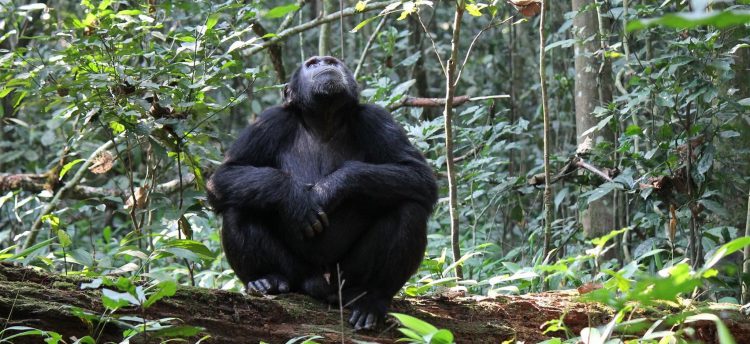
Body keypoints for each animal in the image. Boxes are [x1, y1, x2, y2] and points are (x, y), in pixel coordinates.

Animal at [207, 55, 440, 330]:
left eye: (331, 61)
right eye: (311, 64)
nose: (324, 63)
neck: (323, 120)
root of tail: (321, 284)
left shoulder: (377, 118)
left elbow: (418, 174)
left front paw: (328, 189)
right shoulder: (269, 121)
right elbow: (225, 175)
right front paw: (296, 198)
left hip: (345, 277)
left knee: (409, 209)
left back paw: (370, 300)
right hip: (299, 272)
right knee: (238, 207)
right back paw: (267, 280)